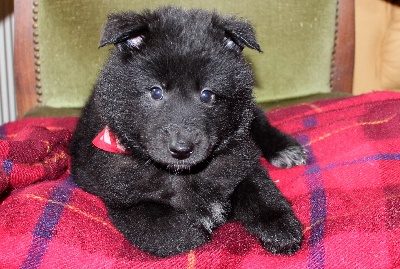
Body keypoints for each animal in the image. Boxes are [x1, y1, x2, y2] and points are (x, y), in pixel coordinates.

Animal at [69, 6, 306, 256]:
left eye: (207, 94)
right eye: (156, 92)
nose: (181, 149)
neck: (184, 174)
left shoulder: (242, 160)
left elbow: (260, 190)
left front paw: (281, 227)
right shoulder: (125, 201)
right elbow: (164, 229)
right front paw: (202, 226)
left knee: (258, 120)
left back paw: (285, 148)